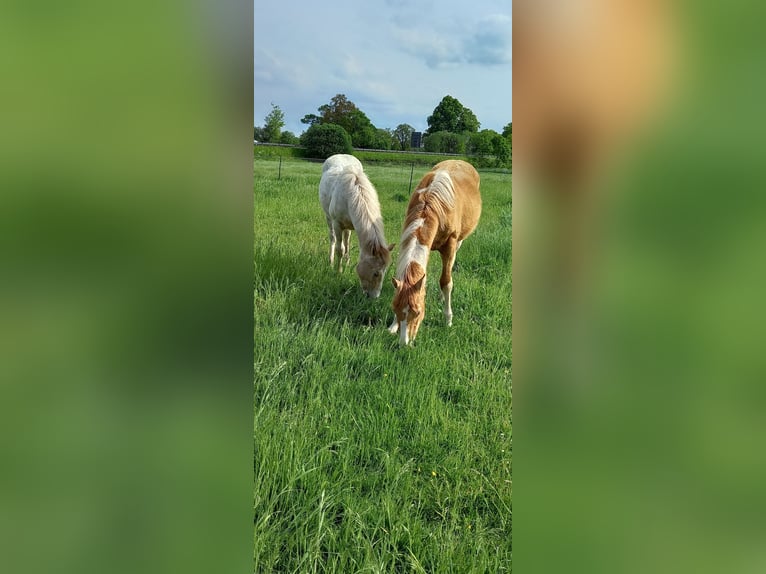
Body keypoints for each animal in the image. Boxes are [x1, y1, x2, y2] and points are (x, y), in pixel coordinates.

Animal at [319, 154, 395, 298]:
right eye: (376, 273)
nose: (374, 297)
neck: (350, 196)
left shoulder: (354, 226)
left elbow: (348, 245)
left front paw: (347, 264)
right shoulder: (337, 224)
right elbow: (340, 249)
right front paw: (338, 272)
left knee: (347, 239)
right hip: (328, 218)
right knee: (332, 238)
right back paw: (331, 261)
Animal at [388, 160, 481, 346]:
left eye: (417, 312)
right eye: (394, 308)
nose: (404, 343)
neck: (432, 202)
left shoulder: (450, 243)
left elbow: (446, 281)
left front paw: (448, 319)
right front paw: (393, 326)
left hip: (458, 242)